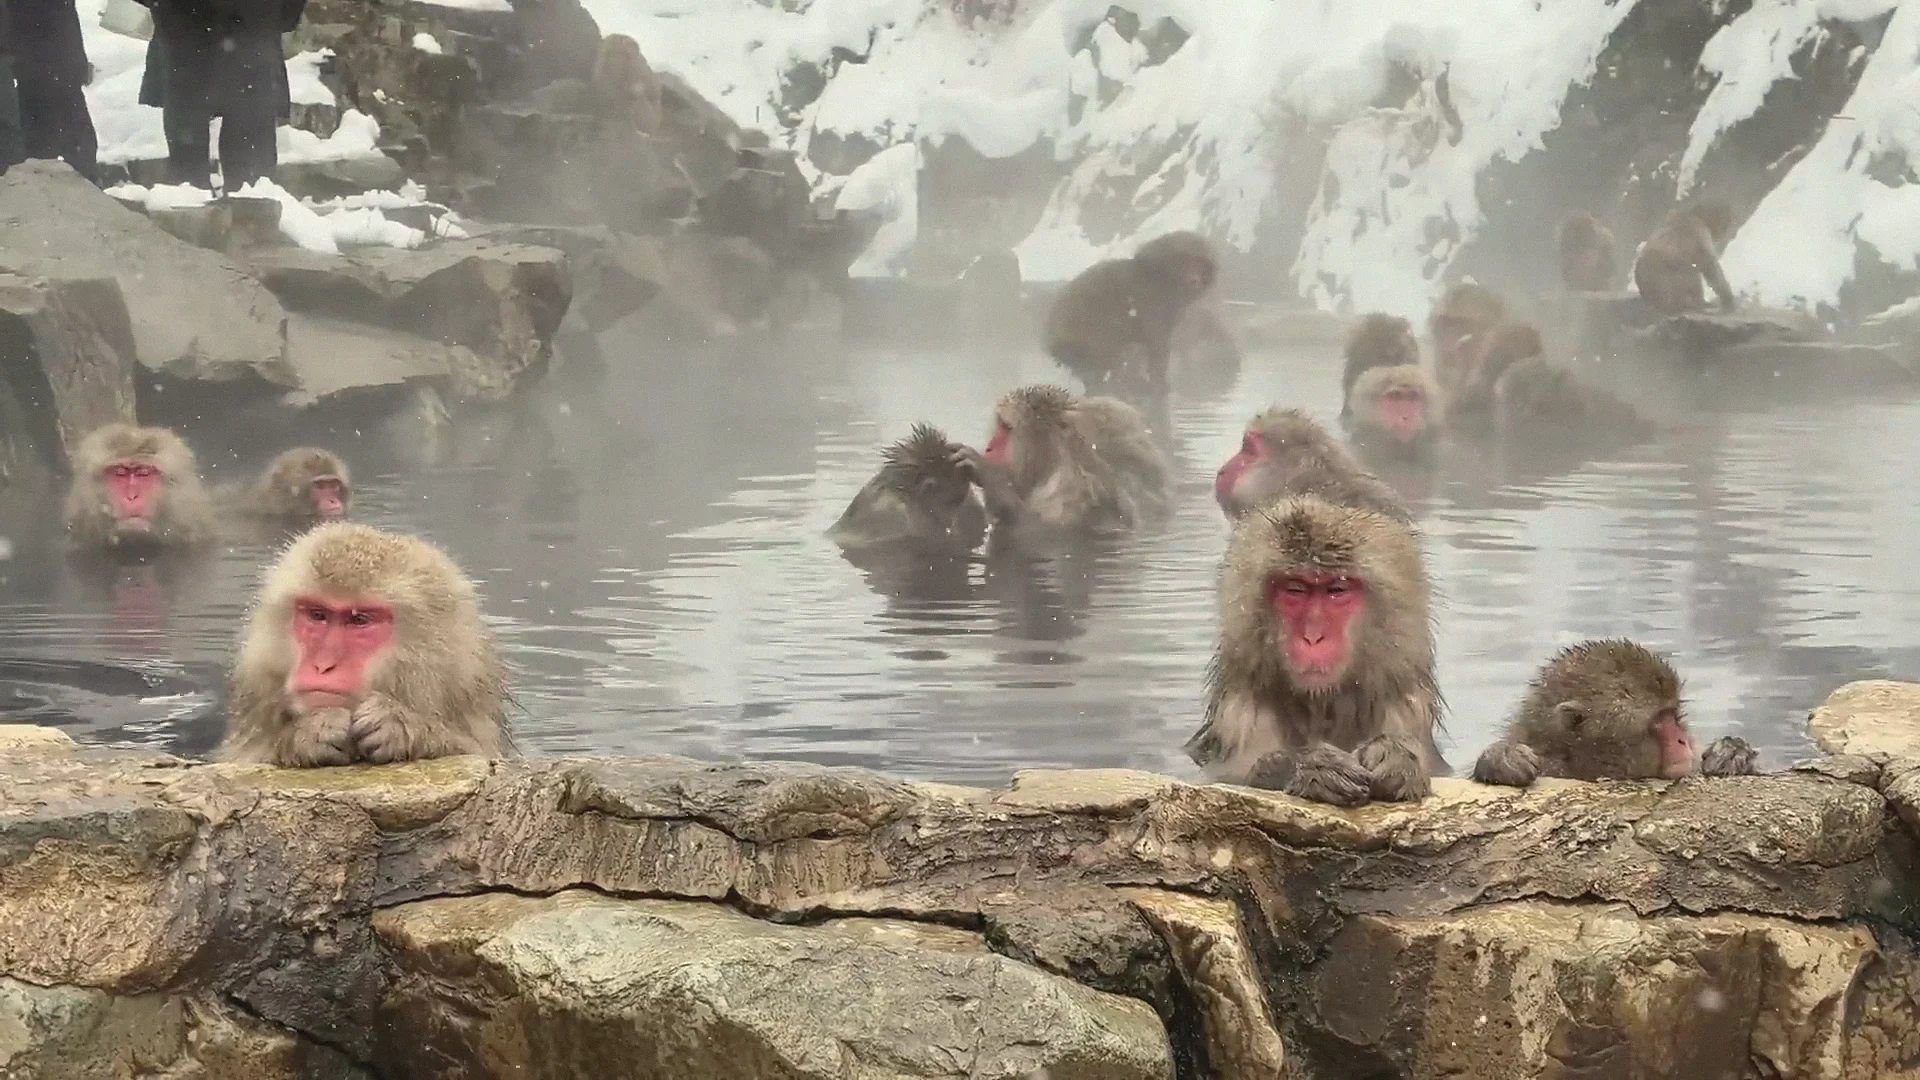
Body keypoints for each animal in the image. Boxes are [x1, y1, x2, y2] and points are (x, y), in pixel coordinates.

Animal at [949, 384, 1173, 536]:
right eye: (1000, 425)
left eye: (1006, 427)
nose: (989, 447)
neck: (1050, 464)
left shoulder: (1072, 488)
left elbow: (1044, 534)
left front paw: (990, 477)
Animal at [1043, 231, 1218, 398]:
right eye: (1186, 261)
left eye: (1199, 263)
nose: (1194, 278)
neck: (1161, 278)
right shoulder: (1154, 305)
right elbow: (1157, 346)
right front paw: (1160, 383)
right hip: (1090, 338)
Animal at [1185, 495, 1445, 806]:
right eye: (1296, 590)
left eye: (1337, 590)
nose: (1313, 637)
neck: (1323, 705)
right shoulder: (1242, 716)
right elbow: (1227, 776)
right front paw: (1309, 767)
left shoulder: (1406, 709)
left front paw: (1397, 758)